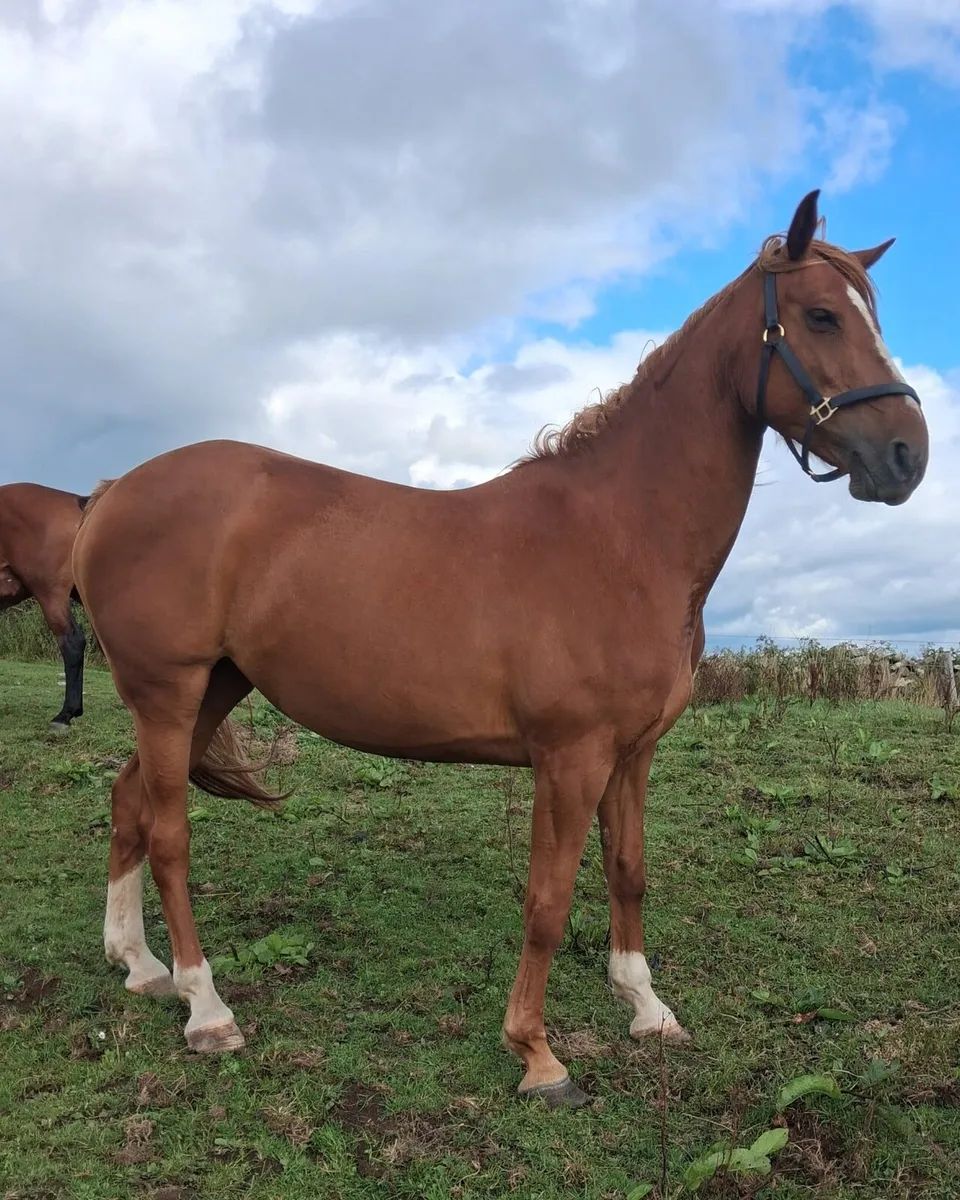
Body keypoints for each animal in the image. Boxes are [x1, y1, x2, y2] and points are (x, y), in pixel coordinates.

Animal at [72, 191, 928, 1109]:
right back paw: (206, 1009)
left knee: (129, 802)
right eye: (821, 315)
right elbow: (547, 901)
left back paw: (140, 966)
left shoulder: (633, 754)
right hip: (168, 692)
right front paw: (539, 1056)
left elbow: (627, 869)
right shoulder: (571, 758)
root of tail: (114, 490)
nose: (909, 455)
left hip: (213, 689)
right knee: (168, 834)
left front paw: (646, 1007)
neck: (619, 536)